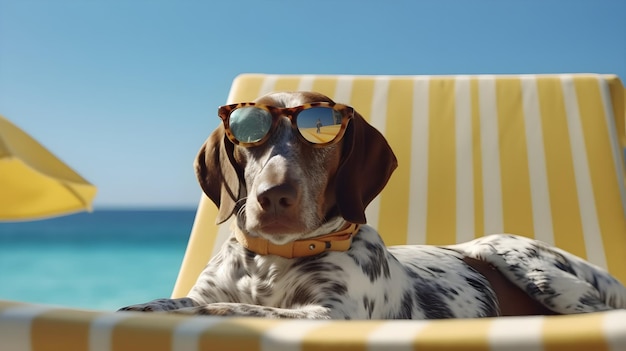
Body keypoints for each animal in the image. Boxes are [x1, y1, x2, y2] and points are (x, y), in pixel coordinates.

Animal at [118, 91, 624, 322]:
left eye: (321, 133)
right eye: (249, 133)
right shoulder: (204, 291)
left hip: (532, 270)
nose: (274, 196)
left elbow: (230, 310)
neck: (272, 261)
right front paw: (142, 307)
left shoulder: (333, 315)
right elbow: (177, 301)